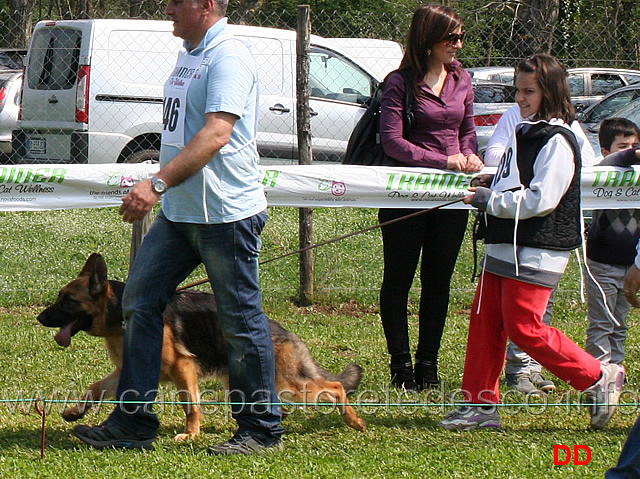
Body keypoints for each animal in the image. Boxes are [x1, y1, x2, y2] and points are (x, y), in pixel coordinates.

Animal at [37, 253, 368, 440]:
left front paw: (191, 434)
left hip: (291, 384)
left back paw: (353, 420)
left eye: (68, 301)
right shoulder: (125, 370)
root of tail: (284, 331)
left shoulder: (183, 368)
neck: (121, 315)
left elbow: (191, 405)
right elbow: (94, 387)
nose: (40, 318)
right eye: (60, 297)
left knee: (336, 387)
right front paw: (76, 412)